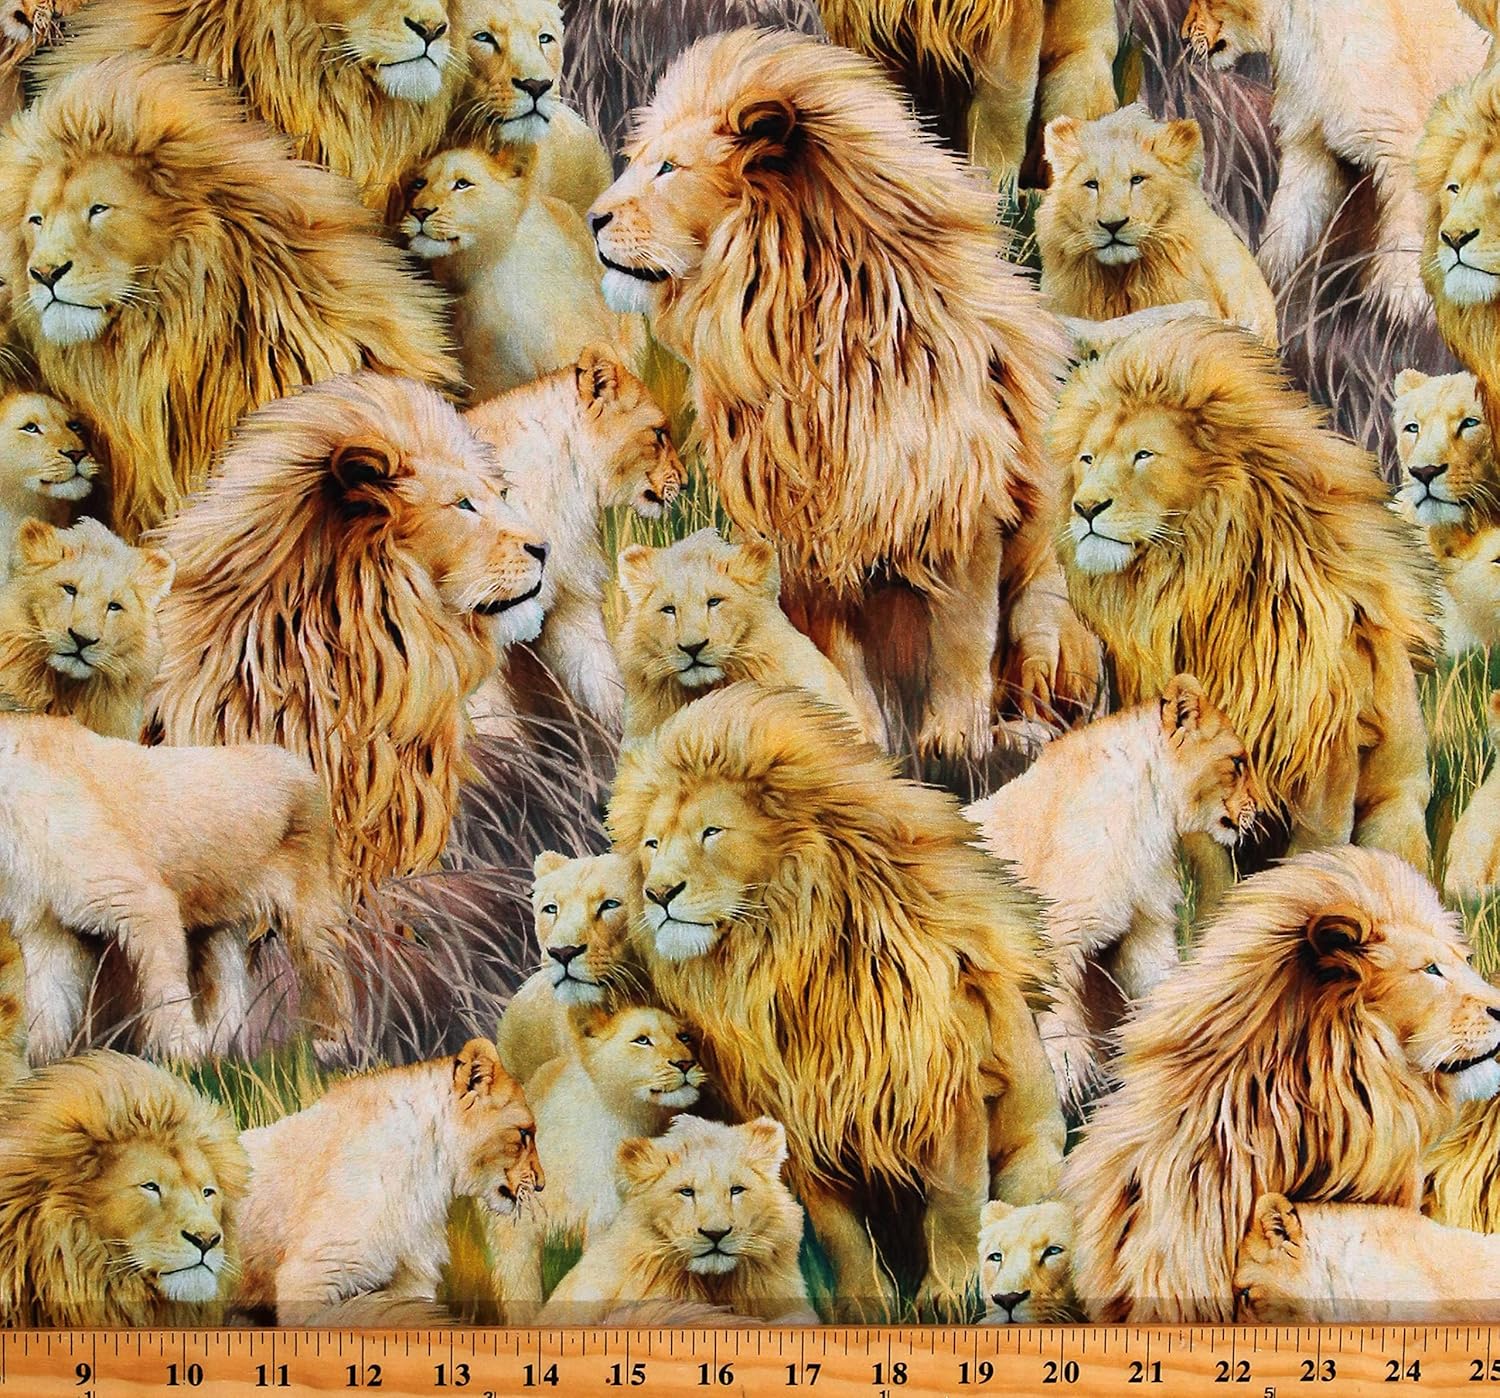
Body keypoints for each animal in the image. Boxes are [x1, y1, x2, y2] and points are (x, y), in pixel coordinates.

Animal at [0, 711, 351, 1061]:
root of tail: (295, 762)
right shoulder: (47, 930)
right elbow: (48, 1007)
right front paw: (43, 1065)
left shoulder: (147, 905)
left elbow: (164, 991)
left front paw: (180, 1054)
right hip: (214, 928)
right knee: (226, 994)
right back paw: (215, 1055)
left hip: (309, 917)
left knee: (332, 974)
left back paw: (333, 1045)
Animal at [608, 683, 1065, 1315]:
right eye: (652, 844)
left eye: (712, 832)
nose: (658, 893)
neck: (783, 960)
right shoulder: (795, 1114)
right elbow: (837, 1230)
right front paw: (862, 1307)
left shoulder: (946, 1090)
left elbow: (954, 1204)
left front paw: (949, 1296)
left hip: (1037, 1153)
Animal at [964, 674, 1258, 1111]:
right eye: (1237, 763)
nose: (1258, 808)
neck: (1146, 817)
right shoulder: (1059, 938)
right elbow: (1062, 1023)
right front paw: (1068, 1087)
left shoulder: (1146, 927)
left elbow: (1157, 988)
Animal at [1055, 319, 1438, 870]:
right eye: (1087, 459)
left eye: (1144, 455)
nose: (1085, 507)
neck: (1199, 581)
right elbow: (1207, 859)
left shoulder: (1325, 741)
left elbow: (1315, 844)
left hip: (1397, 807)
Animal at [1182, 0, 1483, 320]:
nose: (1184, 37)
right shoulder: (1309, 148)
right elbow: (1287, 228)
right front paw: (1271, 286)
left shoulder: (1405, 159)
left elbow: (1403, 247)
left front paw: (1398, 314)